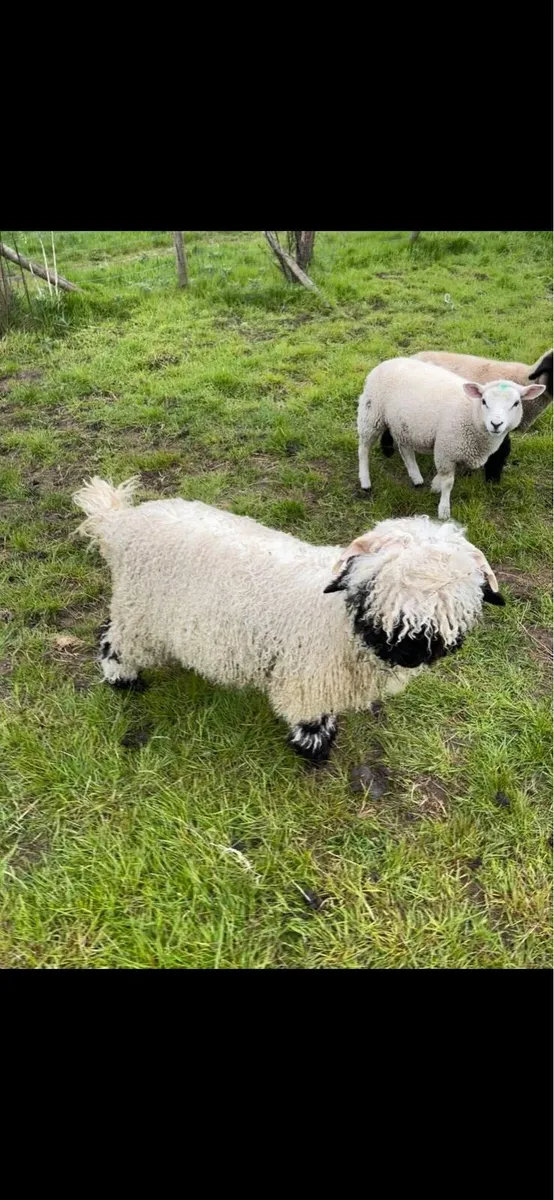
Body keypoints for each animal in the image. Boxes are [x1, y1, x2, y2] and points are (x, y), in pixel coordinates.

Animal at [73, 476, 505, 765]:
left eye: (456, 597)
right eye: (377, 582)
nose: (413, 653)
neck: (339, 618)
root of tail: (118, 524)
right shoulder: (308, 676)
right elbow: (310, 716)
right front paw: (315, 750)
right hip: (139, 614)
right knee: (113, 642)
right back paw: (123, 680)